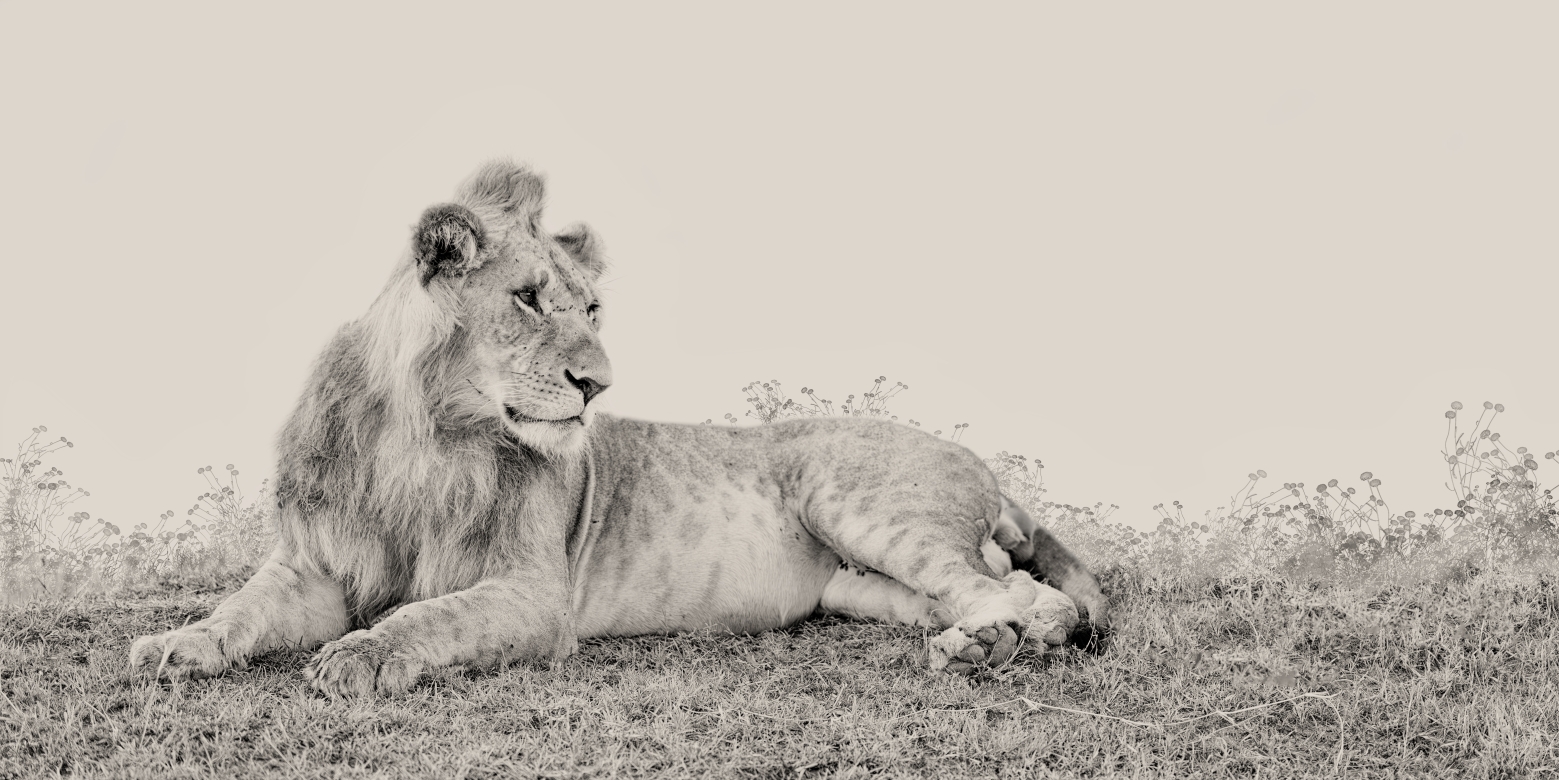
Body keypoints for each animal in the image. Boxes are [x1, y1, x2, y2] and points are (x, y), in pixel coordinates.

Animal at [130, 158, 1110, 695]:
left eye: (593, 307)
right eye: (527, 299)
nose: (598, 386)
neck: (425, 437)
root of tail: (985, 468)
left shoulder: (534, 593)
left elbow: (425, 618)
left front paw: (360, 656)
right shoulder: (312, 565)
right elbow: (237, 610)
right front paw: (175, 645)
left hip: (863, 507)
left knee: (1028, 596)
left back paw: (983, 648)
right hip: (858, 585)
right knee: (1008, 591)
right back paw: (983, 640)